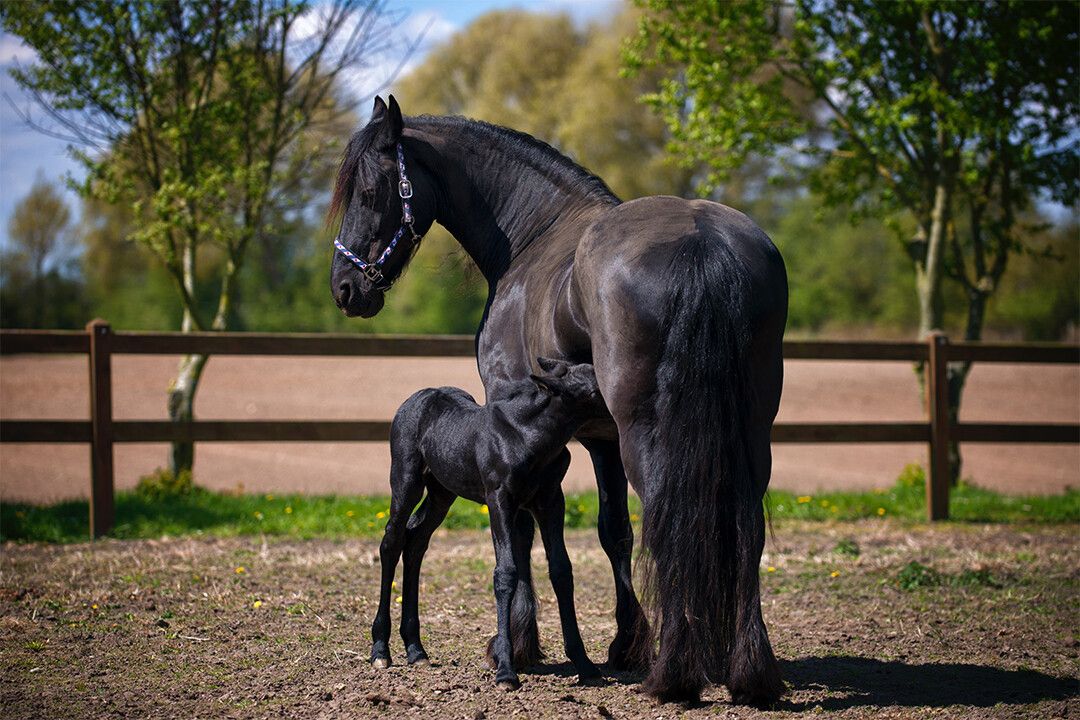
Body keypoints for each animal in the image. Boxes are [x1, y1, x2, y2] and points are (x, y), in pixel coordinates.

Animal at [371, 359, 607, 688]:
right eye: (594, 389)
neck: (527, 436)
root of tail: (416, 398)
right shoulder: (499, 499)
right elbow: (505, 573)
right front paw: (506, 671)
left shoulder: (551, 500)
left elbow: (562, 570)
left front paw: (584, 664)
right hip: (406, 480)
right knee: (392, 542)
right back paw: (380, 650)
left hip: (442, 492)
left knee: (415, 541)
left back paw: (416, 649)